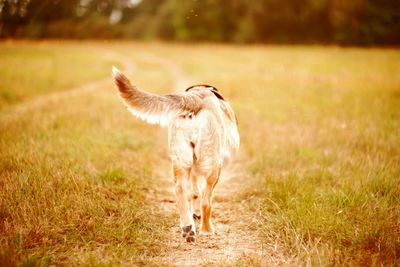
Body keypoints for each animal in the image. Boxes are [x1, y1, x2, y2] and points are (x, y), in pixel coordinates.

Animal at [111, 66, 239, 243]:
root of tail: (194, 98)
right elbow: (200, 195)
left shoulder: (193, 171)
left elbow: (194, 194)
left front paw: (194, 214)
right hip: (213, 165)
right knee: (206, 200)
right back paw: (206, 229)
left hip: (180, 160)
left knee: (180, 190)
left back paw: (188, 227)